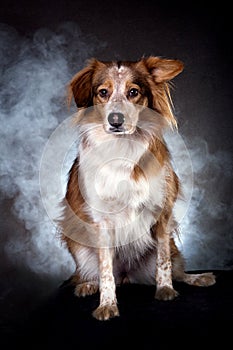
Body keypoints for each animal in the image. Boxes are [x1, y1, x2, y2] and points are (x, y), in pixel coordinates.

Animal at [59, 56, 216, 320]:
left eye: (133, 92)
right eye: (103, 93)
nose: (116, 120)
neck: (122, 148)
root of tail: (127, 276)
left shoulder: (162, 212)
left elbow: (163, 260)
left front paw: (164, 290)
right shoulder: (102, 221)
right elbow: (105, 270)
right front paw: (107, 304)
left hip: (173, 248)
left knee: (177, 269)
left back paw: (198, 278)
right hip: (79, 246)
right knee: (91, 272)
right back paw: (87, 285)